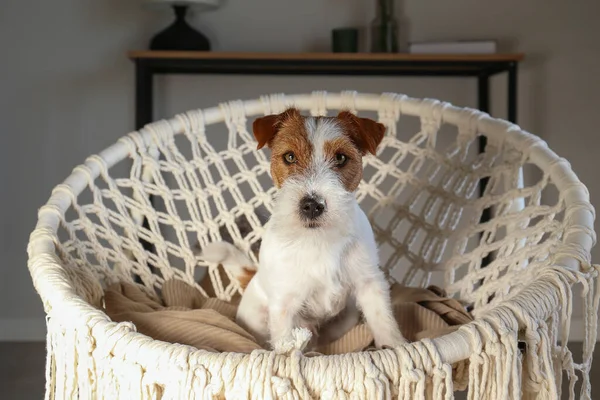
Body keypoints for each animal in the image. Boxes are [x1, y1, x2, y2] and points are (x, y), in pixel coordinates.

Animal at [199, 108, 406, 352]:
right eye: (289, 157)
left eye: (341, 158)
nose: (312, 205)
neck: (318, 238)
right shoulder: (284, 304)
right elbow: (286, 343)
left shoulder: (369, 283)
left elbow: (383, 319)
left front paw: (396, 347)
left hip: (346, 317)